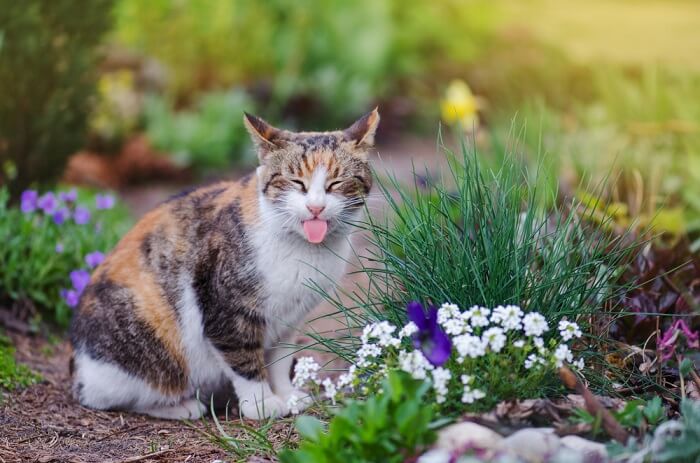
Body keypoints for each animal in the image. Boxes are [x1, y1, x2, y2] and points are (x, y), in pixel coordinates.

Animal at [69, 108, 380, 420]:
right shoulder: (228, 312)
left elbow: (280, 359)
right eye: (296, 182)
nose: (315, 207)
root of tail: (77, 372)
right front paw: (261, 404)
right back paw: (183, 406)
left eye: (336, 183)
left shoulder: (289, 319)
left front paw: (288, 395)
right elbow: (245, 362)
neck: (304, 249)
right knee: (118, 397)